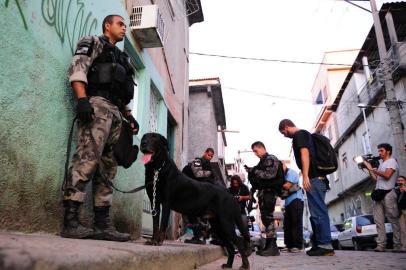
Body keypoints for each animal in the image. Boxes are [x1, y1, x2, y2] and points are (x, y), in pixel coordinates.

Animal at [141, 133, 252, 270]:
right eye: (144, 137)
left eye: (154, 138)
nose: (143, 143)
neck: (157, 169)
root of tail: (231, 196)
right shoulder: (154, 203)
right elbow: (155, 226)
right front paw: (153, 240)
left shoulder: (166, 203)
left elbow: (161, 225)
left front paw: (158, 242)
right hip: (218, 226)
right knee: (230, 246)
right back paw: (228, 264)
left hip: (226, 223)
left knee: (239, 242)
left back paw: (245, 265)